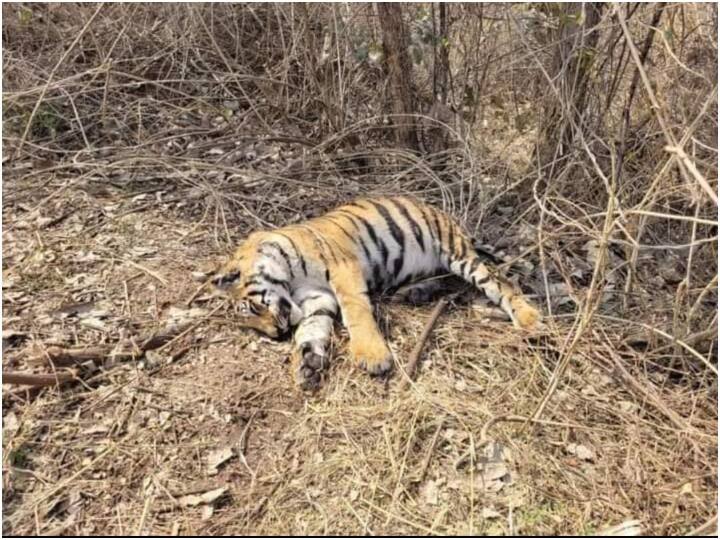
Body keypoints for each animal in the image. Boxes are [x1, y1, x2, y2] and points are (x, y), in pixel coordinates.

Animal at [211, 196, 539, 390]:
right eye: (256, 327)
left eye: (254, 310)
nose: (276, 334)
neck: (291, 282)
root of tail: (439, 211)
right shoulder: (317, 299)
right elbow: (312, 329)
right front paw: (307, 364)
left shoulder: (343, 269)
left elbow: (356, 312)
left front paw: (372, 356)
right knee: (443, 279)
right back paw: (414, 293)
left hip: (456, 252)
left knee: (500, 283)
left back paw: (529, 319)